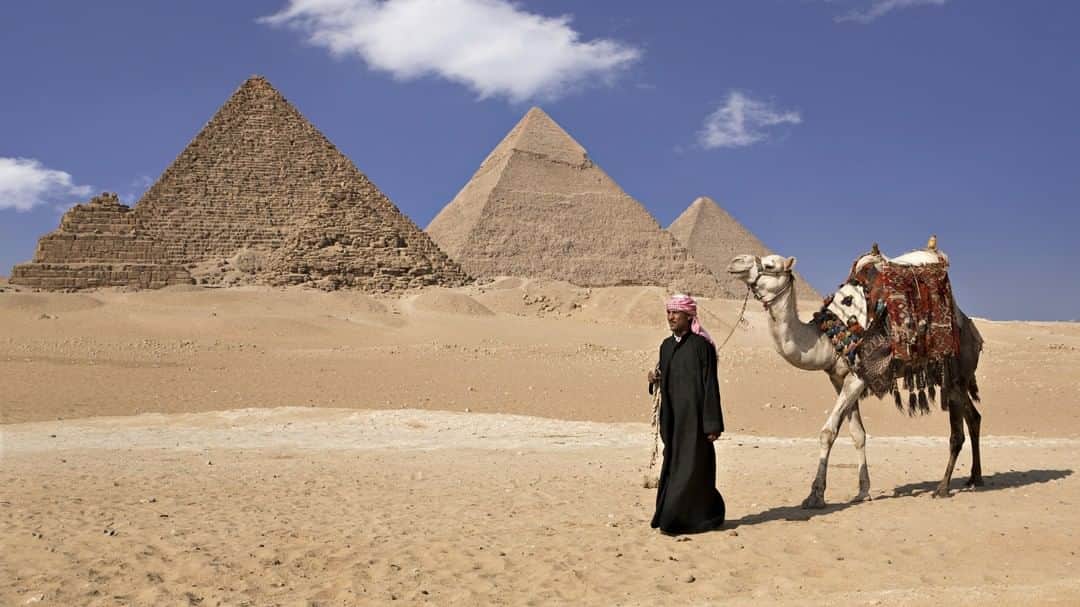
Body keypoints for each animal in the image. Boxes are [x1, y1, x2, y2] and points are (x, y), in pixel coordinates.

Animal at [726, 250, 984, 508]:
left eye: (770, 265)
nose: (735, 262)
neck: (828, 339)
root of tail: (972, 331)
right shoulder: (839, 378)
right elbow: (857, 434)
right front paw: (863, 491)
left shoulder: (859, 377)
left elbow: (828, 432)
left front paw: (815, 495)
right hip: (952, 377)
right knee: (974, 417)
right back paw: (975, 479)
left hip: (955, 373)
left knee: (957, 432)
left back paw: (943, 487)